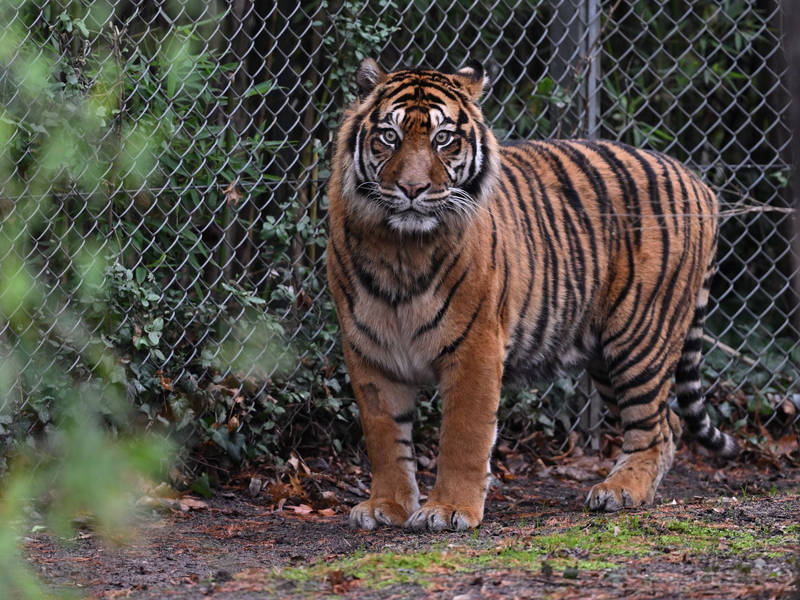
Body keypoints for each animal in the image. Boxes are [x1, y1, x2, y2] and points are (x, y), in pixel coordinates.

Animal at [326, 58, 739, 532]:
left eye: (442, 138)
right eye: (389, 136)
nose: (411, 189)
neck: (400, 248)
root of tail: (698, 181)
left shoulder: (476, 346)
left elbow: (464, 435)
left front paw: (448, 510)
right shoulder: (368, 349)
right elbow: (384, 437)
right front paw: (386, 505)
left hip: (641, 336)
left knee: (655, 426)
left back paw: (620, 491)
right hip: (605, 353)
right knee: (668, 422)